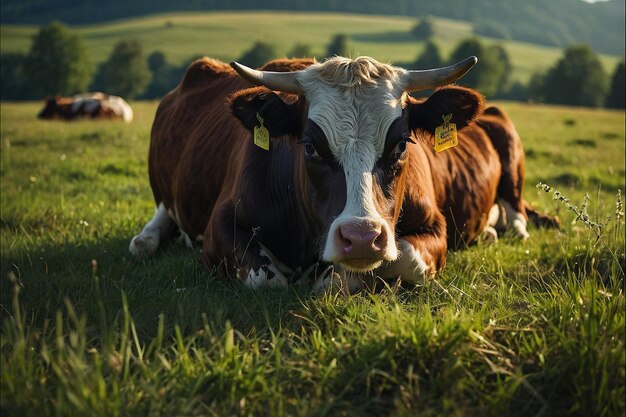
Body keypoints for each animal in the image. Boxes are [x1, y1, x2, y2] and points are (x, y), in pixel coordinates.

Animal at [128, 54, 556, 290]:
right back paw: (146, 239)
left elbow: (402, 257)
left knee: (518, 218)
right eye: (310, 147)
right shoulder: (221, 225)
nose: (362, 238)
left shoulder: (435, 226)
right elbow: (265, 277)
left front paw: (333, 277)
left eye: (401, 145)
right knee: (153, 228)